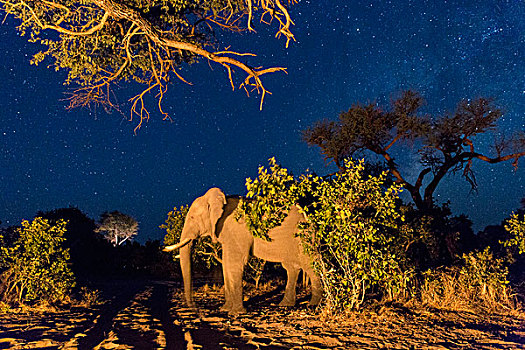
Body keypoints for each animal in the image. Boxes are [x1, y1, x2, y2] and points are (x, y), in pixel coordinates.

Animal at [164, 187, 322, 314]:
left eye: (192, 217)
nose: (194, 307)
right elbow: (226, 263)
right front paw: (225, 309)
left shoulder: (237, 230)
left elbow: (234, 263)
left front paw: (236, 312)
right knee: (291, 267)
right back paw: (285, 305)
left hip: (303, 237)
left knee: (309, 263)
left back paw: (314, 304)